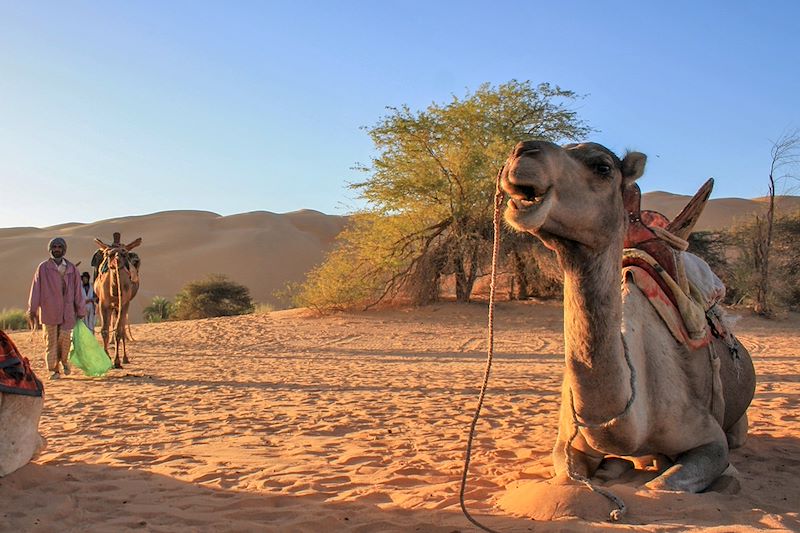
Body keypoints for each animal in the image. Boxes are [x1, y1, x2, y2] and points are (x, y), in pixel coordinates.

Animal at [94, 238, 141, 368]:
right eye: (107, 254)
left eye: (124, 254)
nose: (116, 259)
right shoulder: (103, 304)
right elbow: (104, 331)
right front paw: (106, 358)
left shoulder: (124, 304)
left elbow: (118, 332)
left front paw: (117, 361)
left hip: (123, 305)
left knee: (122, 328)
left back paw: (125, 358)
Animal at [500, 139, 756, 492]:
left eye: (602, 167)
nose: (522, 152)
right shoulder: (567, 445)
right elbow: (567, 476)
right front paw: (613, 468)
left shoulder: (709, 439)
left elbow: (661, 486)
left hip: (738, 423)